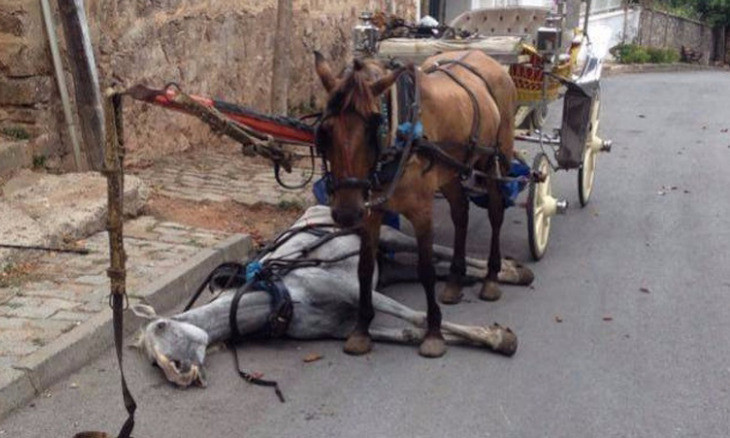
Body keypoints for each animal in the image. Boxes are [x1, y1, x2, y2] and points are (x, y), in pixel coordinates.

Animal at [132, 205, 528, 386]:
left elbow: (416, 317)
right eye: (151, 363)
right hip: (386, 268)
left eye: (162, 328)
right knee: (422, 268)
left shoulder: (353, 289)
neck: (280, 296)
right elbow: (407, 332)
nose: (179, 375)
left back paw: (506, 271)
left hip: (387, 235)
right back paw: (492, 275)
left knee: (436, 251)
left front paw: (499, 338)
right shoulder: (340, 329)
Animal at [316, 49, 516, 358]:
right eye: (325, 132)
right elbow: (364, 268)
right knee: (461, 212)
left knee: (495, 212)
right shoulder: (371, 212)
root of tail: (484, 55)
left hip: (495, 160)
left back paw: (492, 278)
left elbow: (426, 269)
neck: (400, 138)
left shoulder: (422, 212)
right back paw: (455, 281)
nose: (347, 213)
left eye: (374, 126)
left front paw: (434, 332)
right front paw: (361, 330)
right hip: (448, 173)